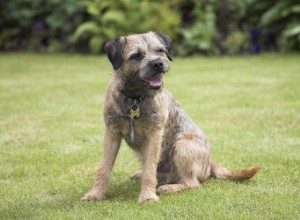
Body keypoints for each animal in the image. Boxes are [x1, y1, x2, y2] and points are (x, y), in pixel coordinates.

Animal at [81, 31, 258, 203]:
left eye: (160, 51)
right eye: (137, 55)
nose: (158, 64)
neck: (134, 99)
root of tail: (210, 163)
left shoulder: (154, 134)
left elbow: (150, 168)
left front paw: (147, 196)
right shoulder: (112, 133)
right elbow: (104, 167)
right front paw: (95, 194)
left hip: (182, 145)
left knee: (192, 183)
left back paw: (168, 188)